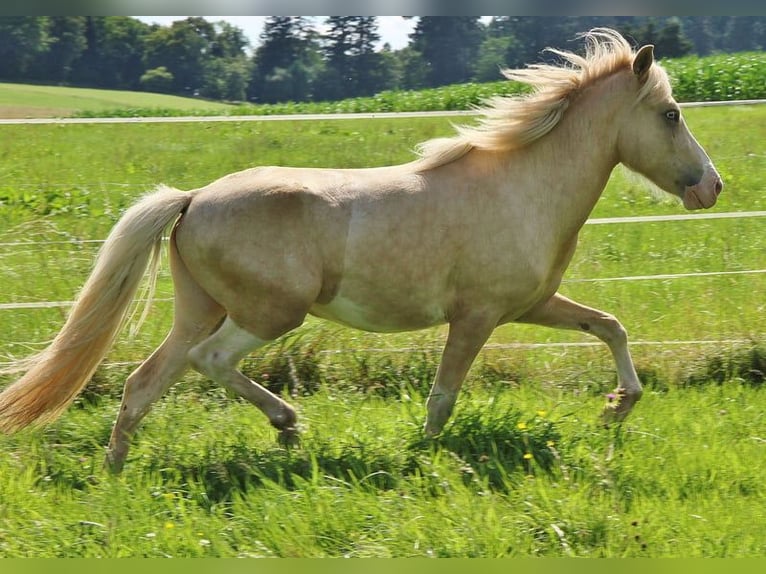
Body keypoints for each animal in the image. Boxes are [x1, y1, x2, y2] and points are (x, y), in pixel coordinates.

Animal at [0, 29, 722, 473]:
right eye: (670, 114)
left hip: (198, 310)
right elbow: (442, 397)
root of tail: (194, 197)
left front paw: (618, 405)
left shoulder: (532, 304)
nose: (712, 187)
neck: (523, 187)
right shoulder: (477, 316)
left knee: (143, 383)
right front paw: (423, 459)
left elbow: (610, 326)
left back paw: (117, 470)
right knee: (210, 363)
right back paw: (287, 423)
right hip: (268, 313)